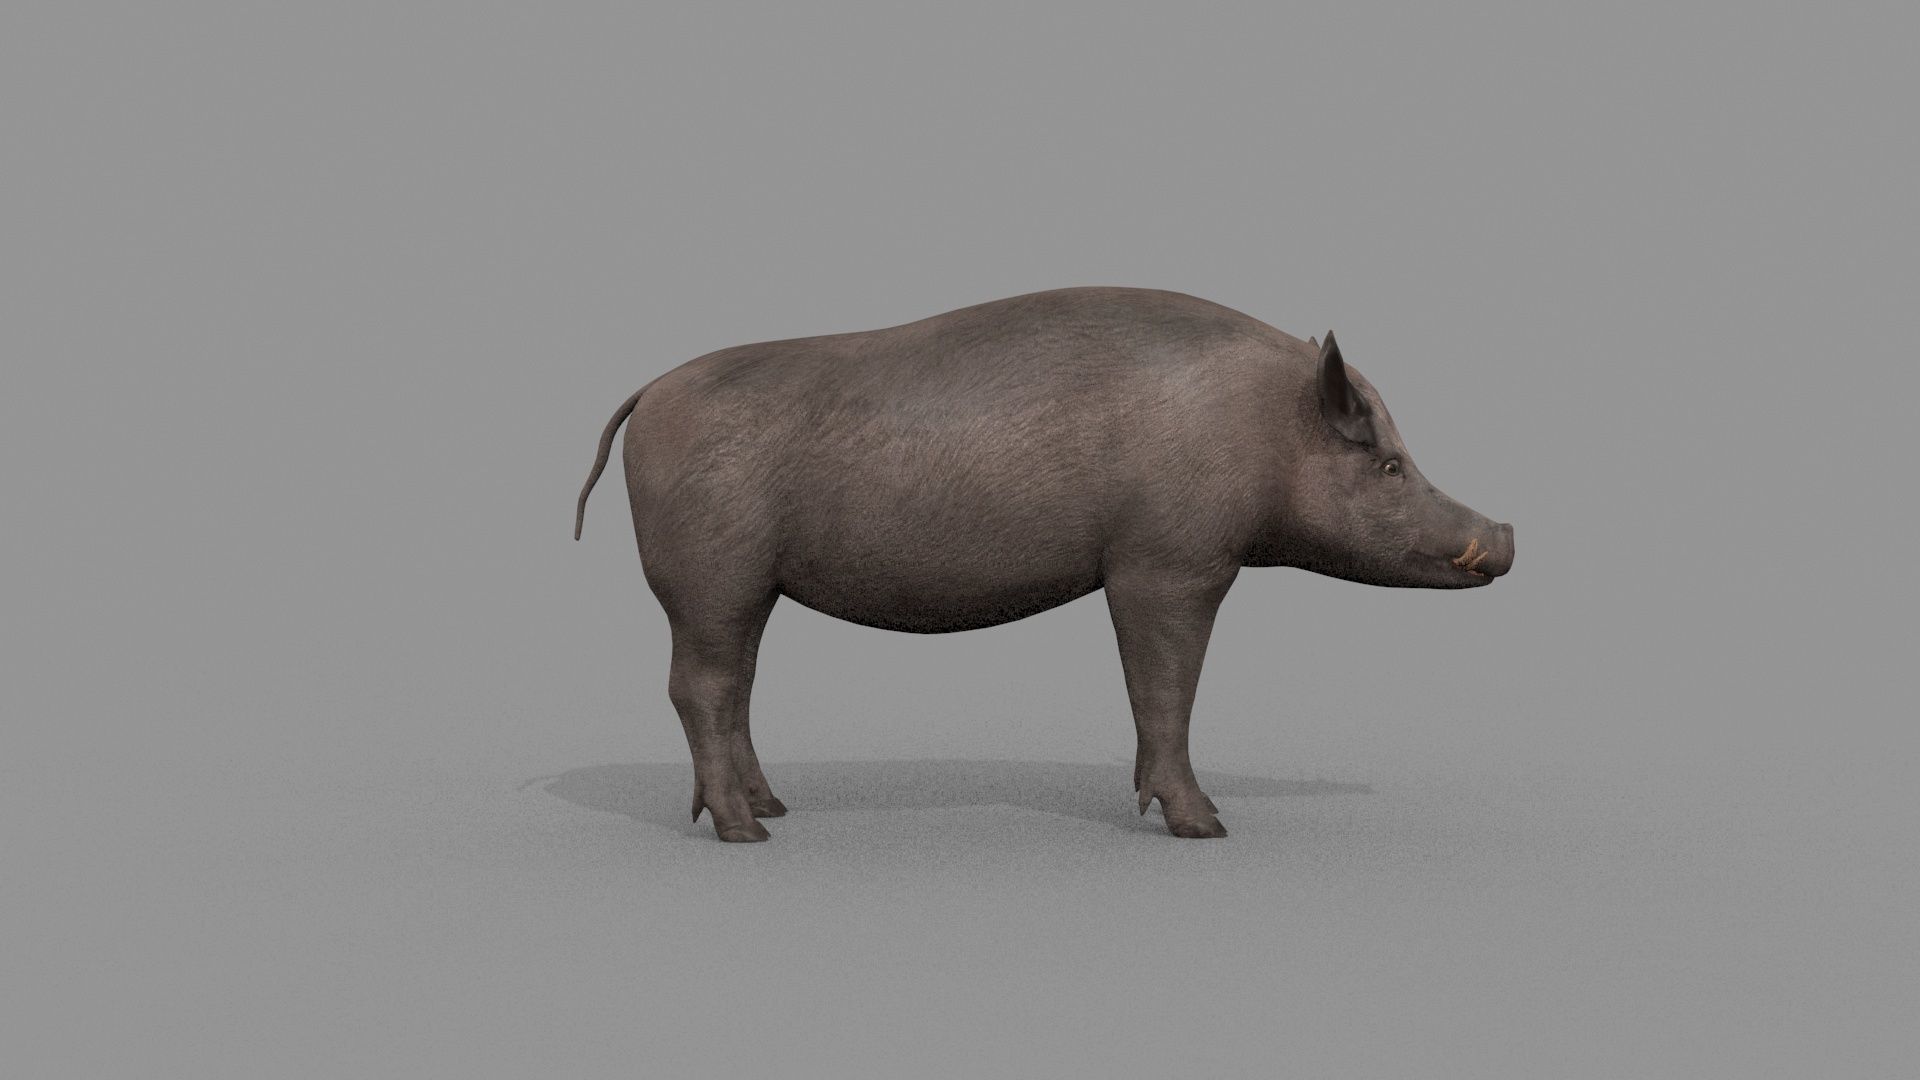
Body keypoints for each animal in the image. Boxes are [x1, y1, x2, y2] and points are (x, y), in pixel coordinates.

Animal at [575, 287, 1513, 841]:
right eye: (1388, 466)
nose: (1507, 533)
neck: (1261, 431)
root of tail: (647, 392)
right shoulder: (1167, 565)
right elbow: (1165, 690)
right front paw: (1207, 828)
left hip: (749, 587)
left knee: (735, 685)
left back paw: (775, 808)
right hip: (709, 577)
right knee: (698, 687)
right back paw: (749, 834)